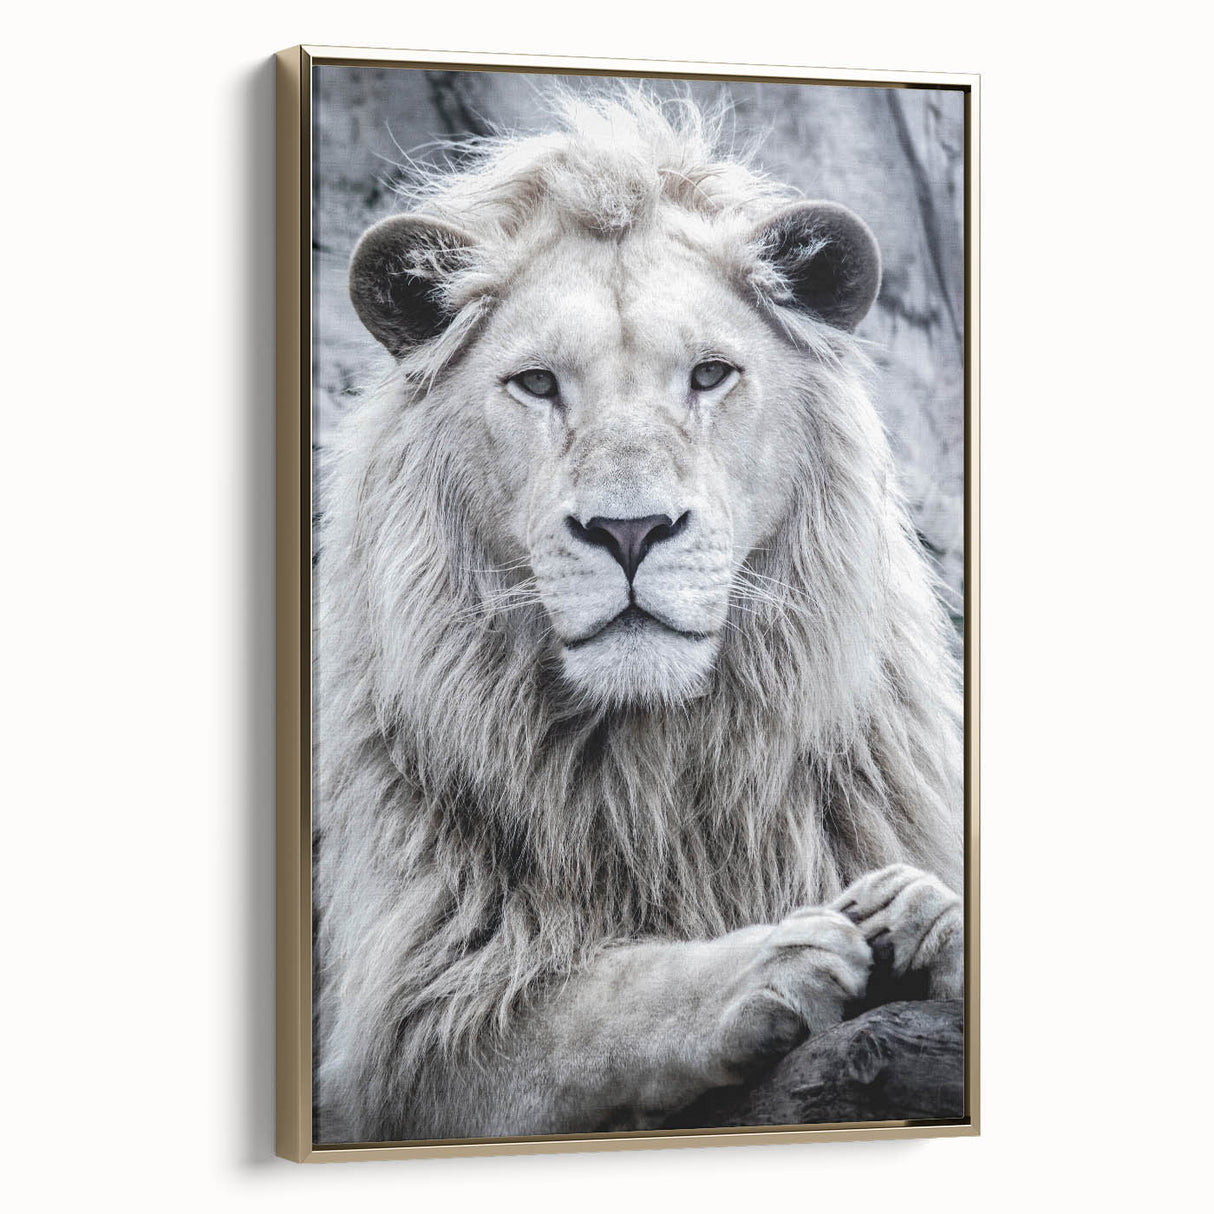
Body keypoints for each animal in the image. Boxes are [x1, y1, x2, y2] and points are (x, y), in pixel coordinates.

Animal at [314, 92, 964, 1144]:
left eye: (709, 375)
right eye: (537, 383)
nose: (629, 531)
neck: (654, 768)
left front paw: (926, 913)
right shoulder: (411, 1028)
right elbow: (593, 1004)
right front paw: (772, 962)